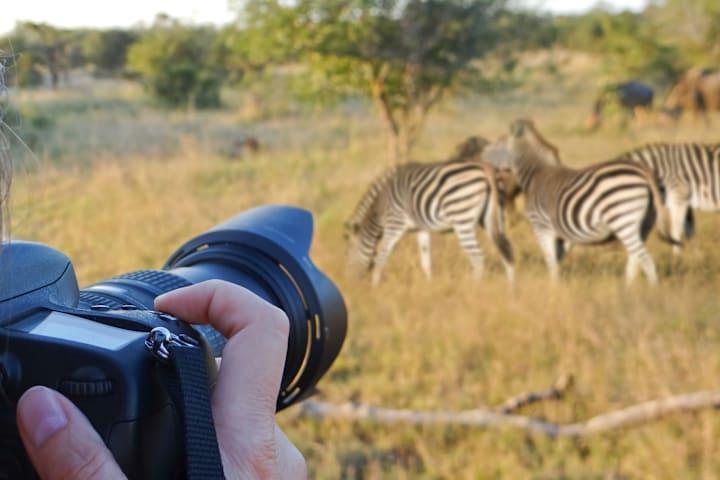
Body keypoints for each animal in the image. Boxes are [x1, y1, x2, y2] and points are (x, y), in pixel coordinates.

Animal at [346, 160, 516, 284]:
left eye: (347, 256)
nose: (351, 283)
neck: (380, 205)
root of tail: (487, 169)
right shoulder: (421, 228)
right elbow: (426, 261)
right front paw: (429, 285)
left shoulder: (395, 224)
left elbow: (382, 256)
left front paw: (375, 286)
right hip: (495, 217)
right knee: (506, 251)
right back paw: (512, 290)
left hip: (462, 219)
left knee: (478, 258)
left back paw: (475, 288)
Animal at [498, 119, 676, 284]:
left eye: (498, 144)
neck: (536, 173)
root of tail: (644, 171)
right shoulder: (565, 233)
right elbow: (558, 258)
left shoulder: (541, 226)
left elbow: (551, 261)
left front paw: (553, 288)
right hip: (645, 223)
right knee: (635, 258)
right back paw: (628, 290)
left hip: (622, 218)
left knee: (646, 259)